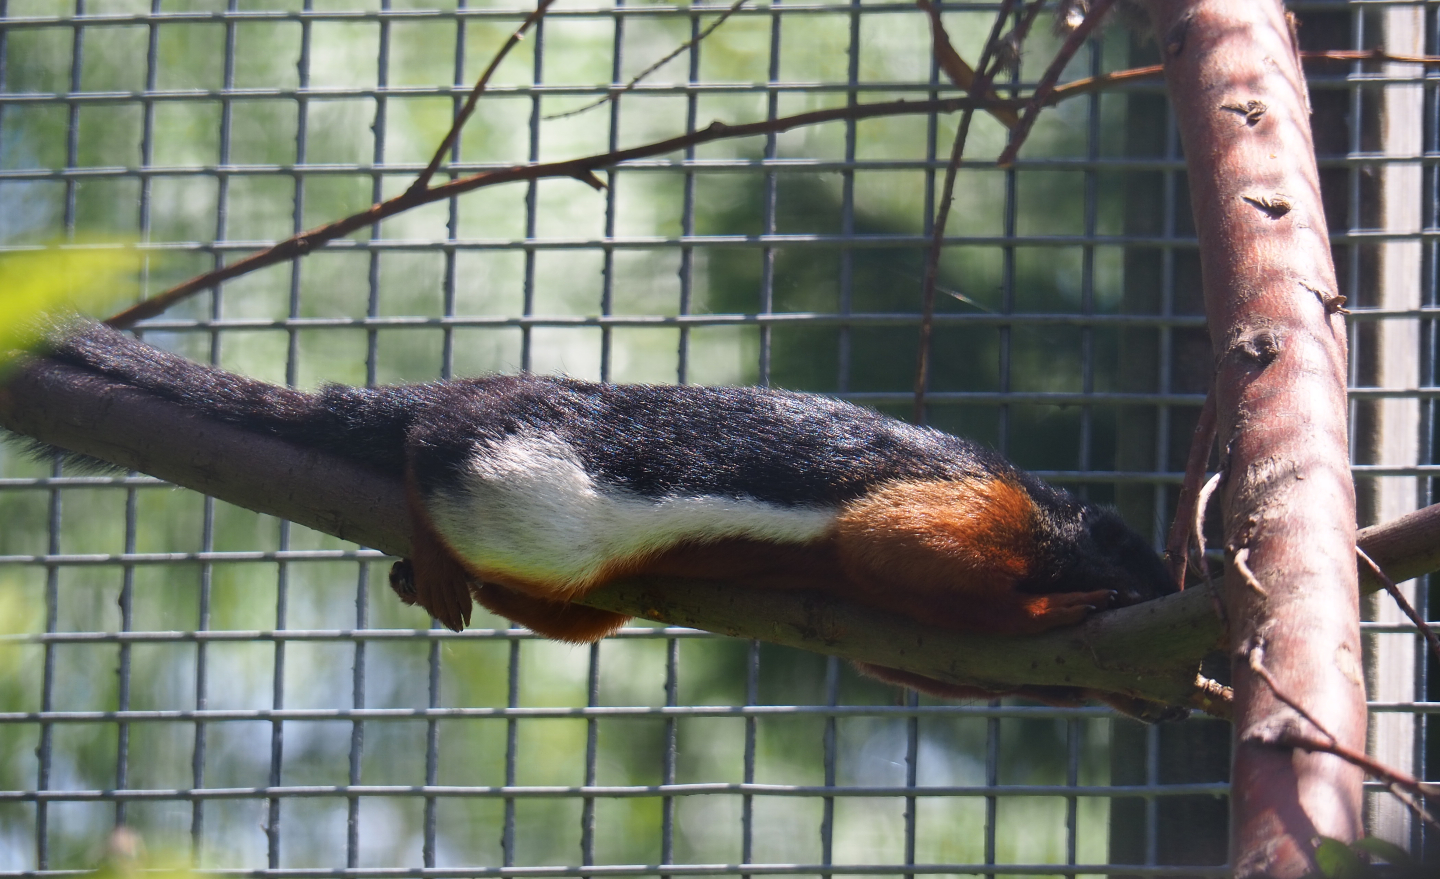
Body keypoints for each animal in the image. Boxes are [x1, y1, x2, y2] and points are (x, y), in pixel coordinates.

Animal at [27, 321, 1180, 713]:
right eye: (1137, 547)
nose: (1173, 588)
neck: (1051, 515)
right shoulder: (964, 511)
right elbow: (895, 551)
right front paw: (1073, 607)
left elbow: (915, 655)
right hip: (534, 487)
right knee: (434, 443)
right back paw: (425, 525)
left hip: (578, 575)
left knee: (578, 614)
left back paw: (430, 579)